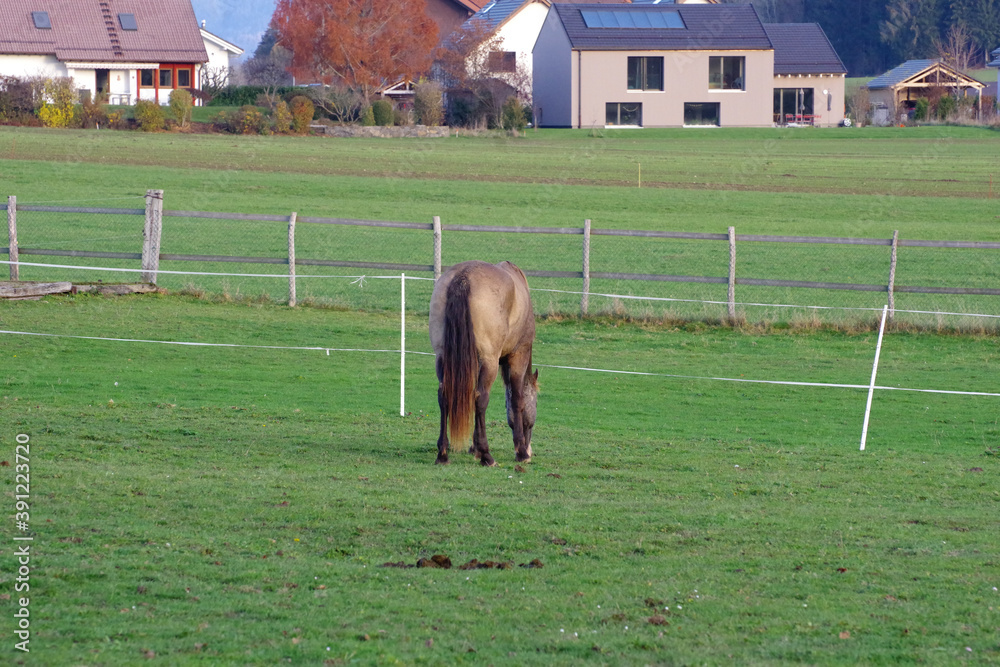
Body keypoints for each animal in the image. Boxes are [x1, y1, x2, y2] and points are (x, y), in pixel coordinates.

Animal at [428, 260, 538, 466]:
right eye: (536, 402)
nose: (530, 449)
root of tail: (463, 278)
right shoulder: (518, 356)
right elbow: (517, 400)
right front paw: (520, 451)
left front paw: (474, 448)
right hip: (489, 361)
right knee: (481, 398)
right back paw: (487, 455)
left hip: (442, 357)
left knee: (444, 395)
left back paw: (443, 453)